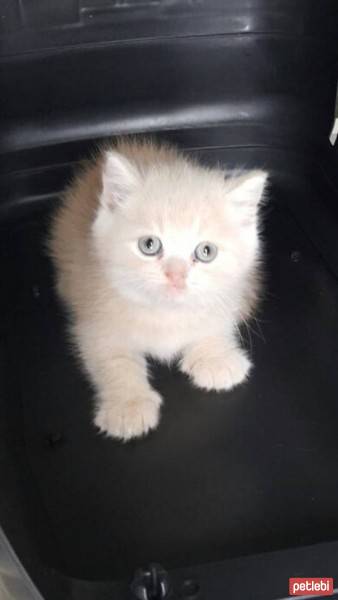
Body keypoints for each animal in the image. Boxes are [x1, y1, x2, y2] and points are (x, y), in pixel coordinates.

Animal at [48, 139, 268, 440]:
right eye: (149, 245)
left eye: (206, 251)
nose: (176, 275)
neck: (165, 314)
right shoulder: (93, 311)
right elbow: (112, 358)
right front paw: (128, 404)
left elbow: (214, 321)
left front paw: (216, 357)